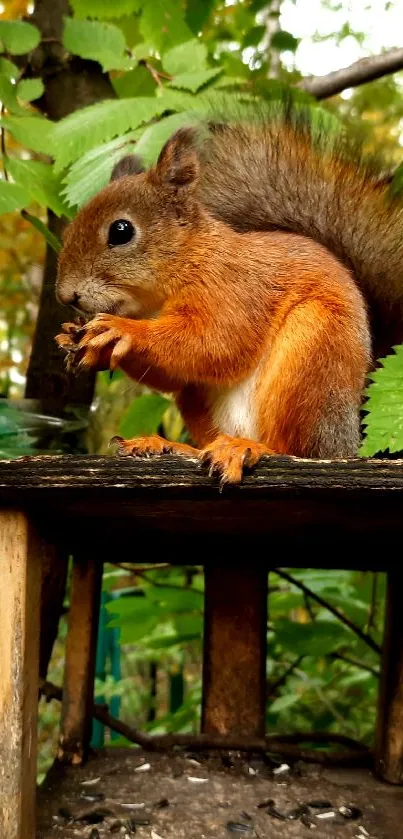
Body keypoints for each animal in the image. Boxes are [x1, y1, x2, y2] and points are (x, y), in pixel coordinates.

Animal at [54, 105, 403, 486]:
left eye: (121, 230)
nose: (65, 295)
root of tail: (347, 441)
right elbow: (177, 372)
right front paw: (76, 338)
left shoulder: (236, 288)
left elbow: (219, 342)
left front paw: (120, 330)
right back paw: (170, 446)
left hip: (314, 350)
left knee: (296, 450)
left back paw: (248, 447)